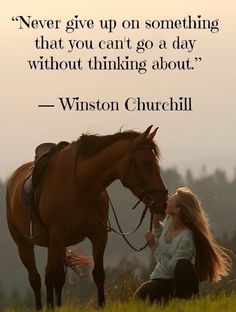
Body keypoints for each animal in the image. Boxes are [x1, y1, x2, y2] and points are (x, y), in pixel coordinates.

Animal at [6, 126, 168, 310]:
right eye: (147, 164)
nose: (163, 202)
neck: (81, 186)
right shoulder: (58, 237)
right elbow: (59, 278)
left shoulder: (98, 235)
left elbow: (98, 274)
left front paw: (101, 305)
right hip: (24, 245)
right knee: (35, 279)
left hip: (50, 245)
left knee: (48, 277)